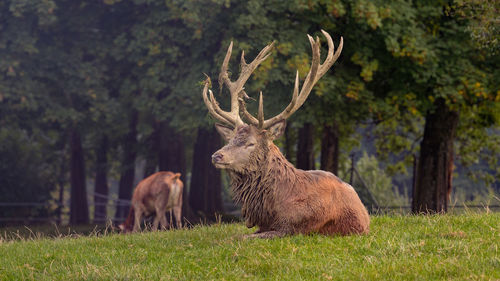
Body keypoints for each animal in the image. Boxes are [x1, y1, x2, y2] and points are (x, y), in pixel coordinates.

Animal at [201, 30, 370, 237]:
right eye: (230, 139)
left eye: (250, 143)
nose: (216, 156)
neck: (273, 206)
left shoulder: (290, 228)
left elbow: (239, 237)